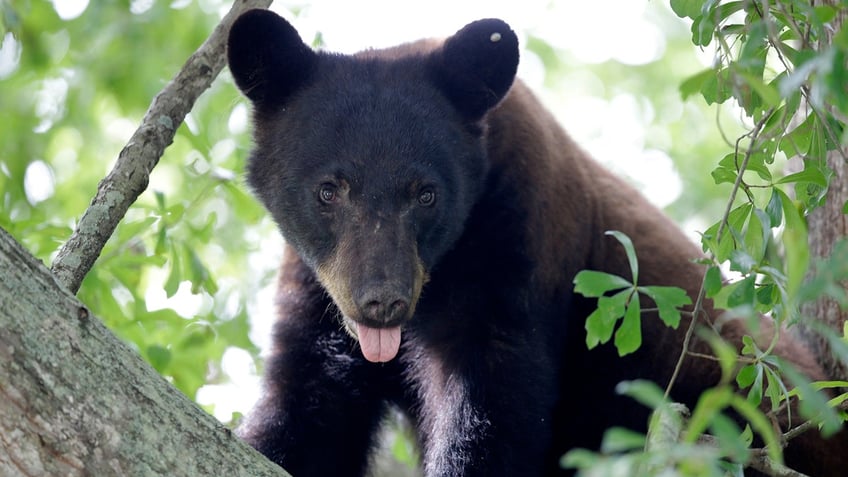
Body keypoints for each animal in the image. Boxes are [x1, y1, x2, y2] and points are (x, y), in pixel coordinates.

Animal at [227, 8, 848, 476]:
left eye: (426, 194)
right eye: (328, 190)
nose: (383, 300)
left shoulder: (517, 242)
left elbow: (491, 404)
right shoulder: (317, 289)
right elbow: (308, 402)